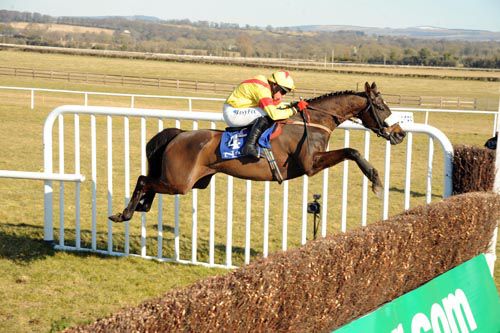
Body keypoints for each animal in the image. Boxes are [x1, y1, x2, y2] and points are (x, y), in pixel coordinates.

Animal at [109, 81, 406, 222]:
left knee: (149, 183)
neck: (314, 121)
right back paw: (124, 213)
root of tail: (179, 134)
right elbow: (352, 151)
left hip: (191, 182)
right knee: (143, 180)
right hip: (178, 182)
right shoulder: (310, 164)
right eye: (381, 107)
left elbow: (350, 151)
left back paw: (140, 207)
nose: (399, 133)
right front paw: (376, 181)